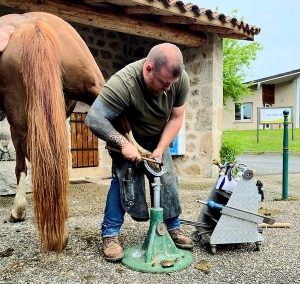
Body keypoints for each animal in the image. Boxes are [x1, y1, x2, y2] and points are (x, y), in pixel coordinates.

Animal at [0, 12, 106, 254]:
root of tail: (32, 26)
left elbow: (20, 164)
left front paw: (18, 211)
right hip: (91, 88)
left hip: (20, 114)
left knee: (38, 161)